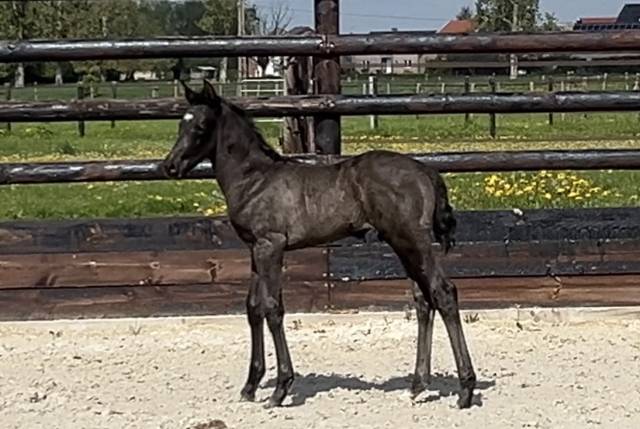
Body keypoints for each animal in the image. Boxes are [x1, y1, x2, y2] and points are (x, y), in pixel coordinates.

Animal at [161, 80, 477, 409]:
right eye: (180, 124)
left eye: (201, 125)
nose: (170, 166)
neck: (255, 180)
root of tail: (427, 171)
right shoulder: (254, 249)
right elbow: (253, 307)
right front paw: (250, 386)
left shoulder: (271, 245)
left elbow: (273, 308)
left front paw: (280, 388)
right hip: (402, 244)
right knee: (423, 299)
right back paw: (417, 385)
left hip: (413, 240)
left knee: (443, 292)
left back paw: (466, 390)